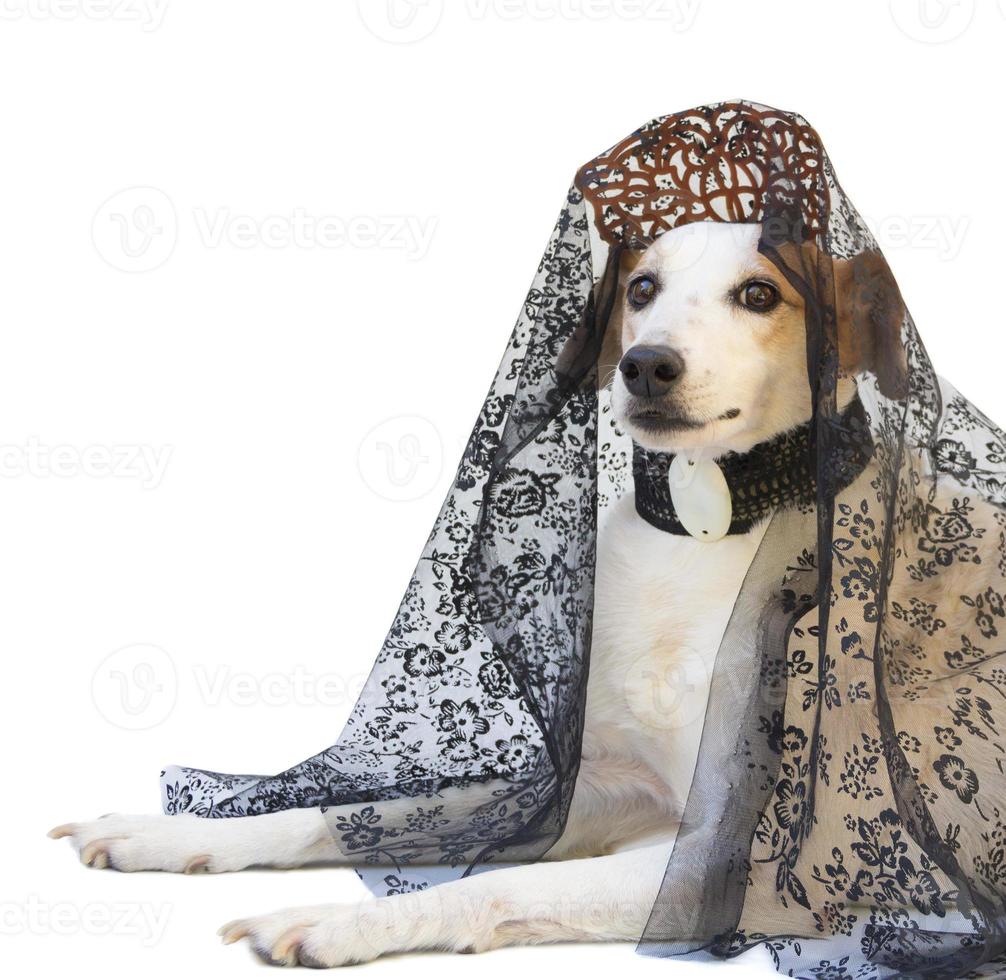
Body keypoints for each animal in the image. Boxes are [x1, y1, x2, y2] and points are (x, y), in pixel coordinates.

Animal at [49, 220, 981, 965]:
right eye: (642, 288)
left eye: (761, 294)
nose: (646, 365)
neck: (709, 533)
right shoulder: (600, 783)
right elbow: (384, 810)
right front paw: (172, 834)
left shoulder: (730, 860)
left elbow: (488, 887)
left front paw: (338, 921)